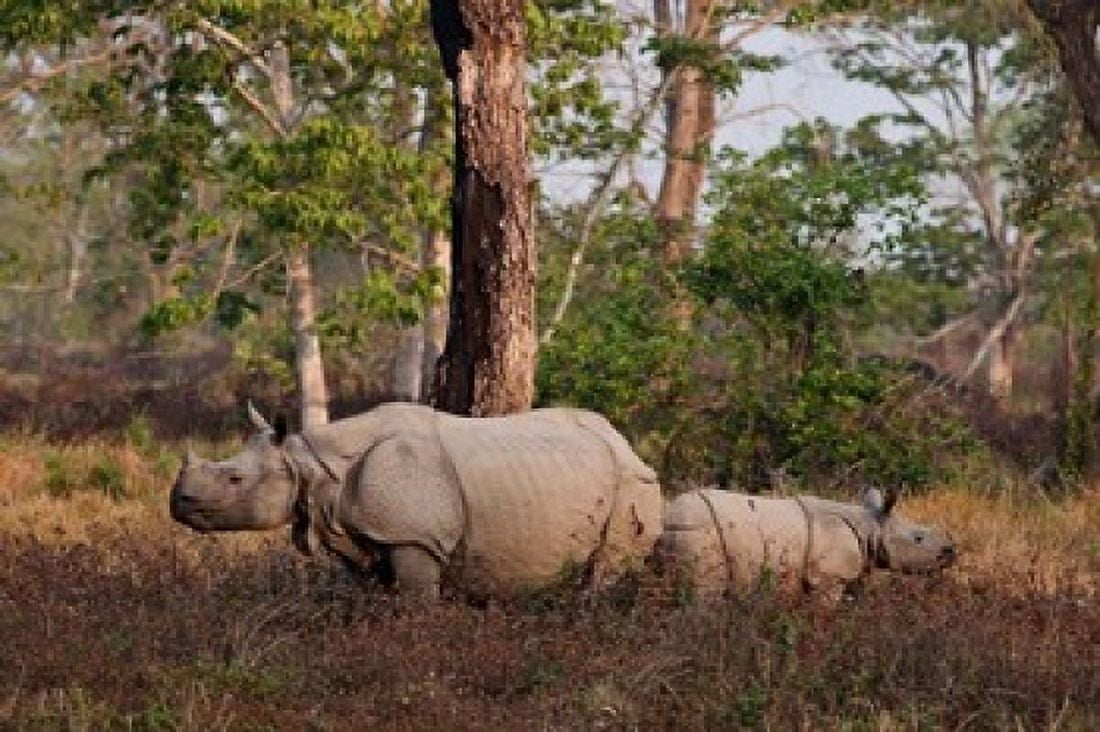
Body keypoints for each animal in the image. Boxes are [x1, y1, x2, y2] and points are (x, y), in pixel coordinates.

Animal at [170, 403, 663, 598]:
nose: (177, 502)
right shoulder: (363, 535)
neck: (310, 461)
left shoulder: (414, 537)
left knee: (605, 571)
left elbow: (415, 603)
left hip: (633, 483)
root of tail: (627, 444)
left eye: (234, 479)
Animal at [658, 487, 955, 595]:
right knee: (704, 592)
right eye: (918, 538)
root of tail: (669, 513)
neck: (871, 526)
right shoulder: (829, 577)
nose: (951, 552)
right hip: (702, 531)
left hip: (684, 530)